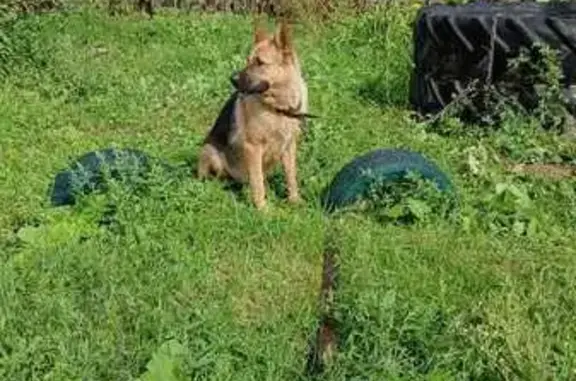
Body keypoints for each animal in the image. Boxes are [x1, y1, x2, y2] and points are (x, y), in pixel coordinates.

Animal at [196, 18, 308, 211]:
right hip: (211, 152)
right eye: (247, 61)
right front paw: (262, 209)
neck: (278, 108)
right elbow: (257, 182)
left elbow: (291, 176)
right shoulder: (252, 148)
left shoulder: (289, 146)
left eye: (260, 62)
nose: (232, 79)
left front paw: (294, 200)